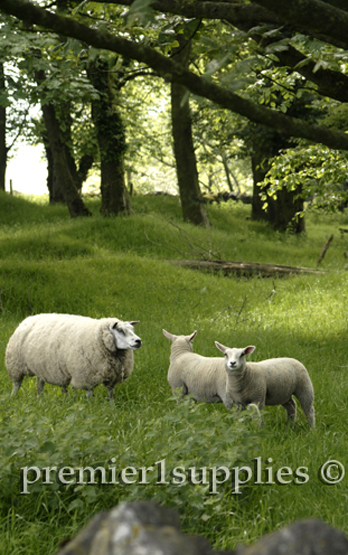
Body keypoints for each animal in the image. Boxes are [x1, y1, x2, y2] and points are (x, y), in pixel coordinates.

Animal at [5, 312, 141, 400]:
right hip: (15, 364)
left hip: (41, 366)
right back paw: (13, 397)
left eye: (132, 330)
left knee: (40, 384)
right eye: (120, 330)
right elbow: (90, 395)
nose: (138, 341)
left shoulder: (111, 376)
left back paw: (41, 399)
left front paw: (112, 408)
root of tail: (28, 318)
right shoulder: (85, 376)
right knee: (17, 384)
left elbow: (111, 394)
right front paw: (92, 409)